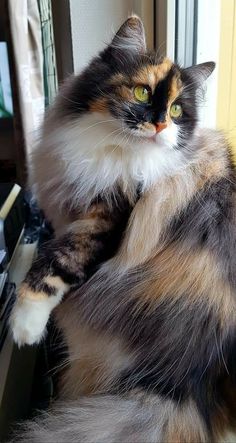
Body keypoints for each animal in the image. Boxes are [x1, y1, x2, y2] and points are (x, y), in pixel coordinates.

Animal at [9, 15, 236, 442]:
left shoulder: (105, 220)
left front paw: (24, 325)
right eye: (142, 91)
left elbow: (57, 261)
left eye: (177, 110)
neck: (115, 151)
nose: (160, 124)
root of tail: (180, 379)